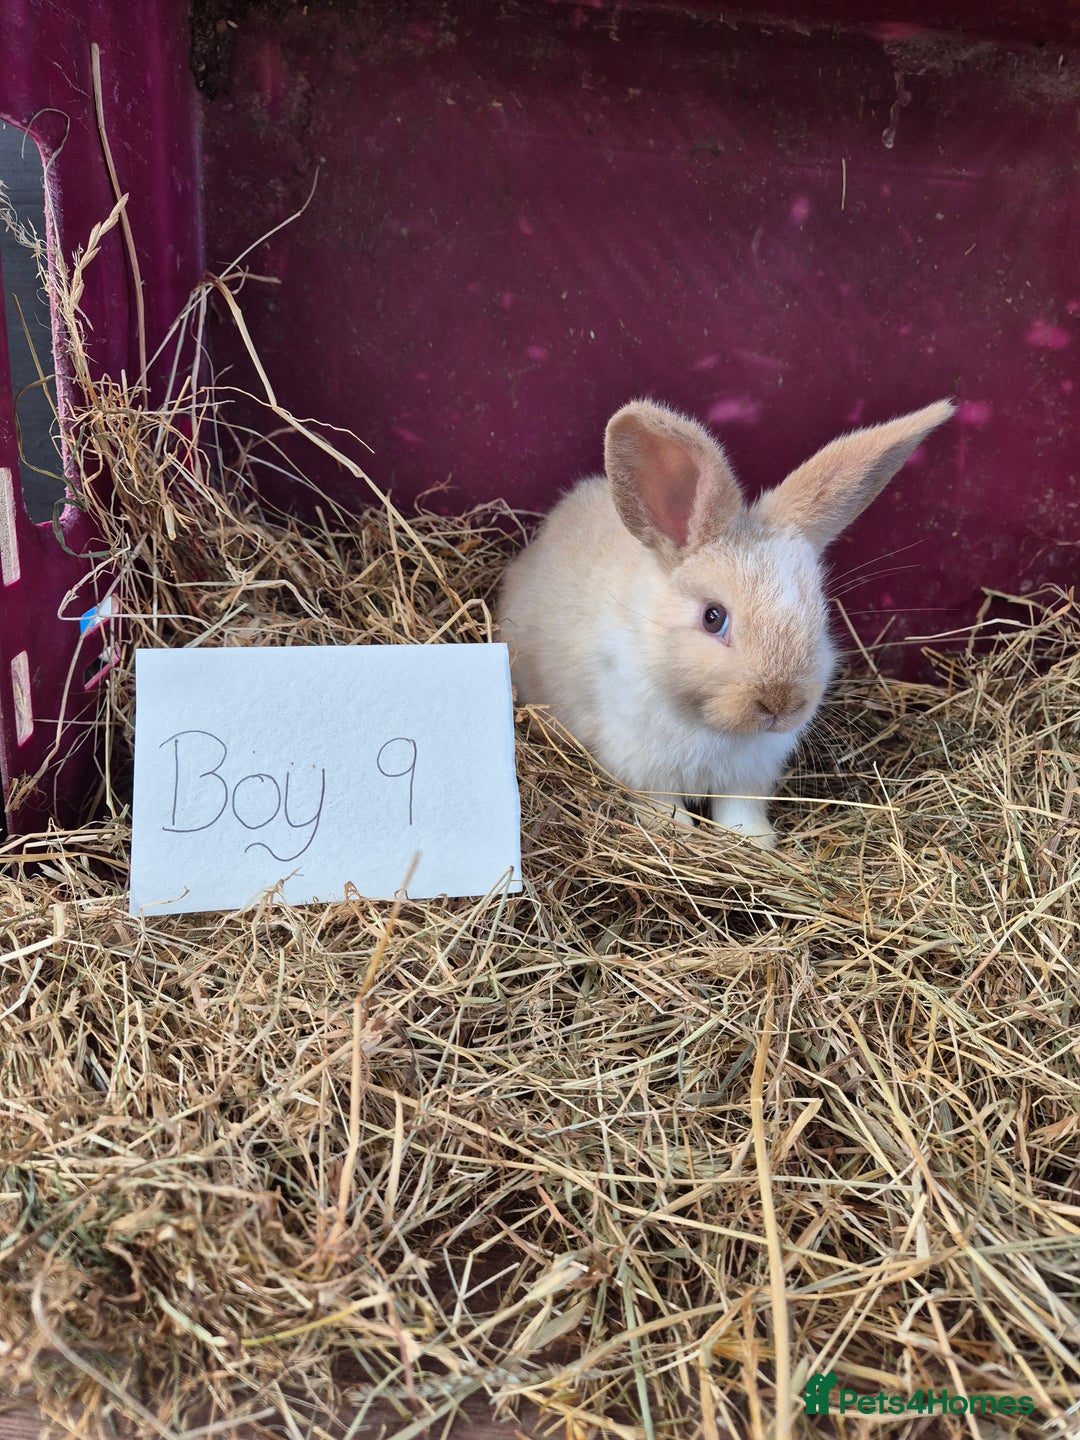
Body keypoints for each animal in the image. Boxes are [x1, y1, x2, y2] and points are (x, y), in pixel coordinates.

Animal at [497, 396, 953, 847]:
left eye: (820, 615)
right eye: (712, 618)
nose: (781, 705)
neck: (712, 725)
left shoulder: (747, 777)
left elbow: (739, 811)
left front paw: (756, 843)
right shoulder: (643, 765)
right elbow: (661, 805)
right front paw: (674, 833)